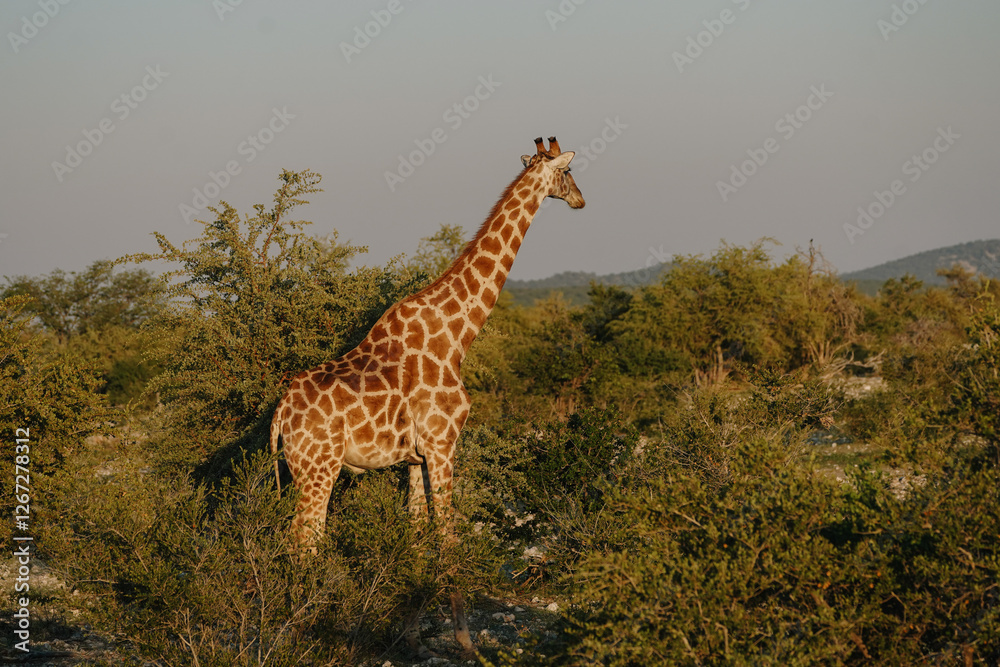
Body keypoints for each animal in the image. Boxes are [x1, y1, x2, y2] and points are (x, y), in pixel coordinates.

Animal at [269, 136, 584, 656]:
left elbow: (416, 536)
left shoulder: (414, 458)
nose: (581, 200)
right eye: (569, 172)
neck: (458, 335)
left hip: (299, 469)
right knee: (305, 543)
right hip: (319, 468)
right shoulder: (443, 444)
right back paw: (302, 631)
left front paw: (412, 631)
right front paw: (465, 640)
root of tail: (280, 413)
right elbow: (448, 536)